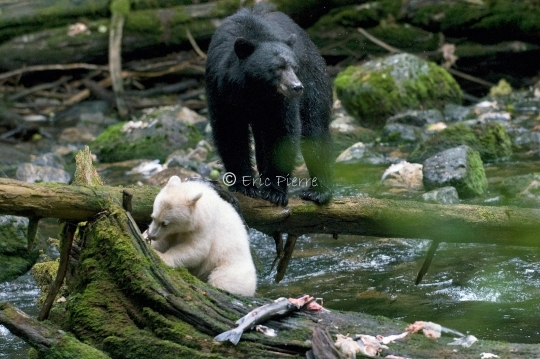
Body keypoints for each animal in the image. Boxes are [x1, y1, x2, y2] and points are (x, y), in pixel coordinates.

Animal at [206, 3, 334, 205]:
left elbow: (282, 131)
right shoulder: (221, 90)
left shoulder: (280, 102)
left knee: (314, 129)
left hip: (315, 79)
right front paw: (244, 186)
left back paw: (318, 191)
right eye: (277, 68)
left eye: (294, 66)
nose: (296, 87)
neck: (255, 91)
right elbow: (230, 131)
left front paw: (274, 190)